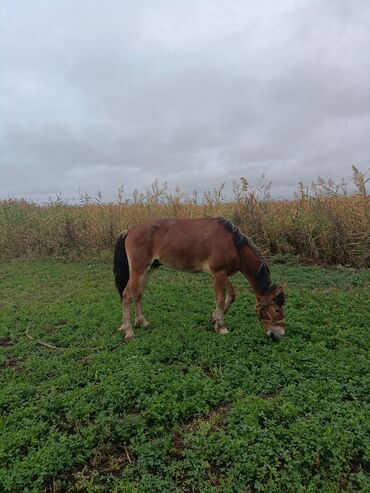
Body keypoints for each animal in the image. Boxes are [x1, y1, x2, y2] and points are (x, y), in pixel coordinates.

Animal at [112, 217, 286, 340]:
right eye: (277, 309)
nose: (280, 334)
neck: (234, 245)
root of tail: (129, 230)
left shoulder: (222, 274)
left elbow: (231, 295)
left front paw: (214, 318)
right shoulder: (219, 274)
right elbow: (220, 299)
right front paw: (221, 327)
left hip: (148, 270)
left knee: (138, 294)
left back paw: (142, 322)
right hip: (139, 270)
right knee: (127, 295)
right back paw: (128, 331)